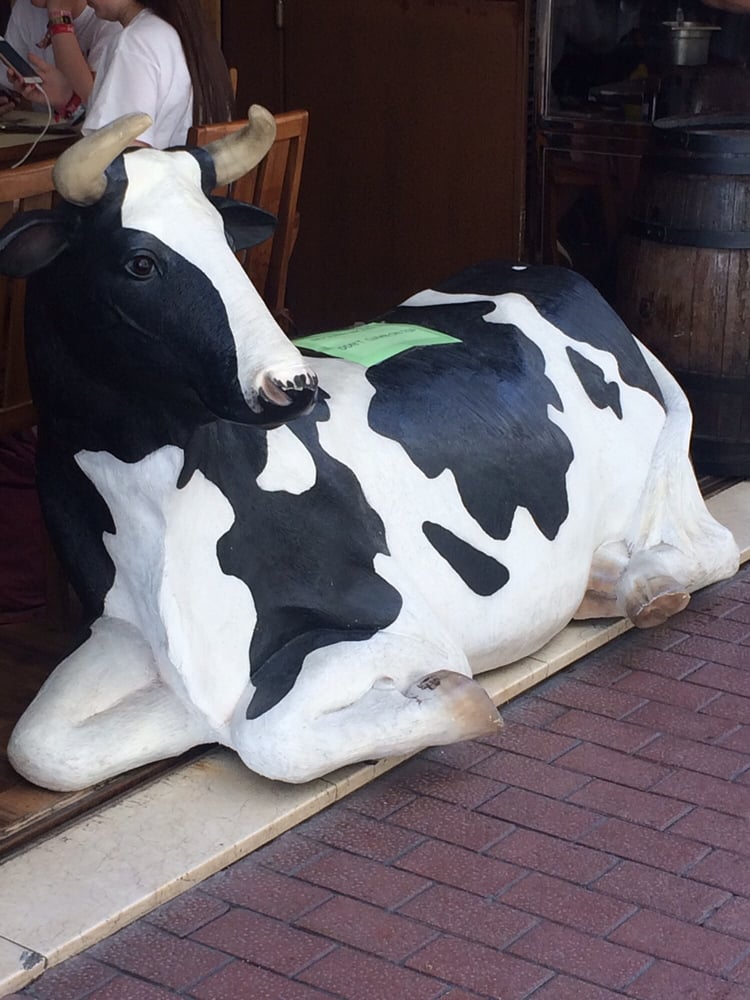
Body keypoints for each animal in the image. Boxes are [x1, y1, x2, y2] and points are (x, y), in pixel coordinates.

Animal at [0, 110, 740, 792]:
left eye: (227, 244)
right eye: (140, 262)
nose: (290, 385)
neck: (156, 506)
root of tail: (567, 280)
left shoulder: (397, 624)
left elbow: (266, 733)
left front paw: (454, 700)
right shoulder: (124, 634)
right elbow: (40, 746)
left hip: (655, 484)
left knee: (714, 547)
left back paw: (648, 584)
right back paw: (608, 581)